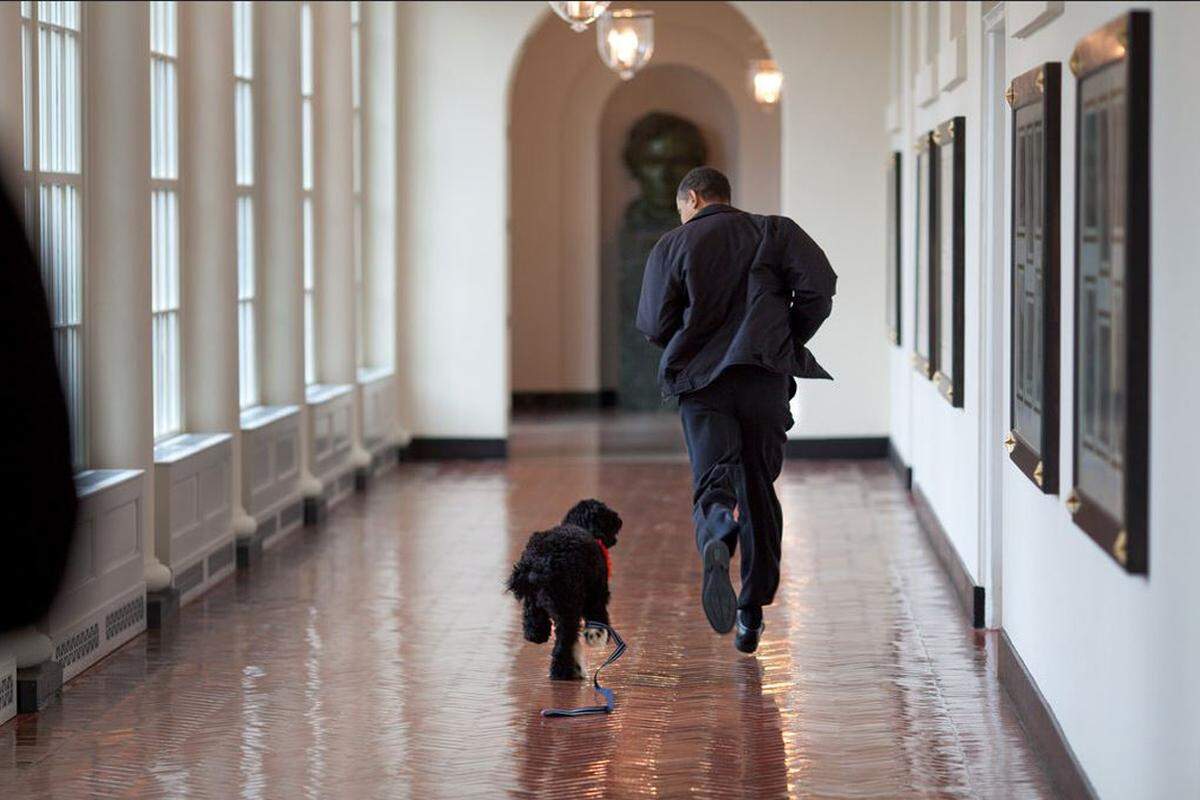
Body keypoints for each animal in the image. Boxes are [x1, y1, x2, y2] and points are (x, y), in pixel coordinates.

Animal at [504, 501, 624, 681]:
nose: (619, 520)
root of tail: (541, 561)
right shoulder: (596, 594)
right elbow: (599, 617)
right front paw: (598, 636)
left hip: (536, 600)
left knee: (533, 622)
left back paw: (537, 635)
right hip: (568, 607)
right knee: (563, 643)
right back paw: (562, 671)